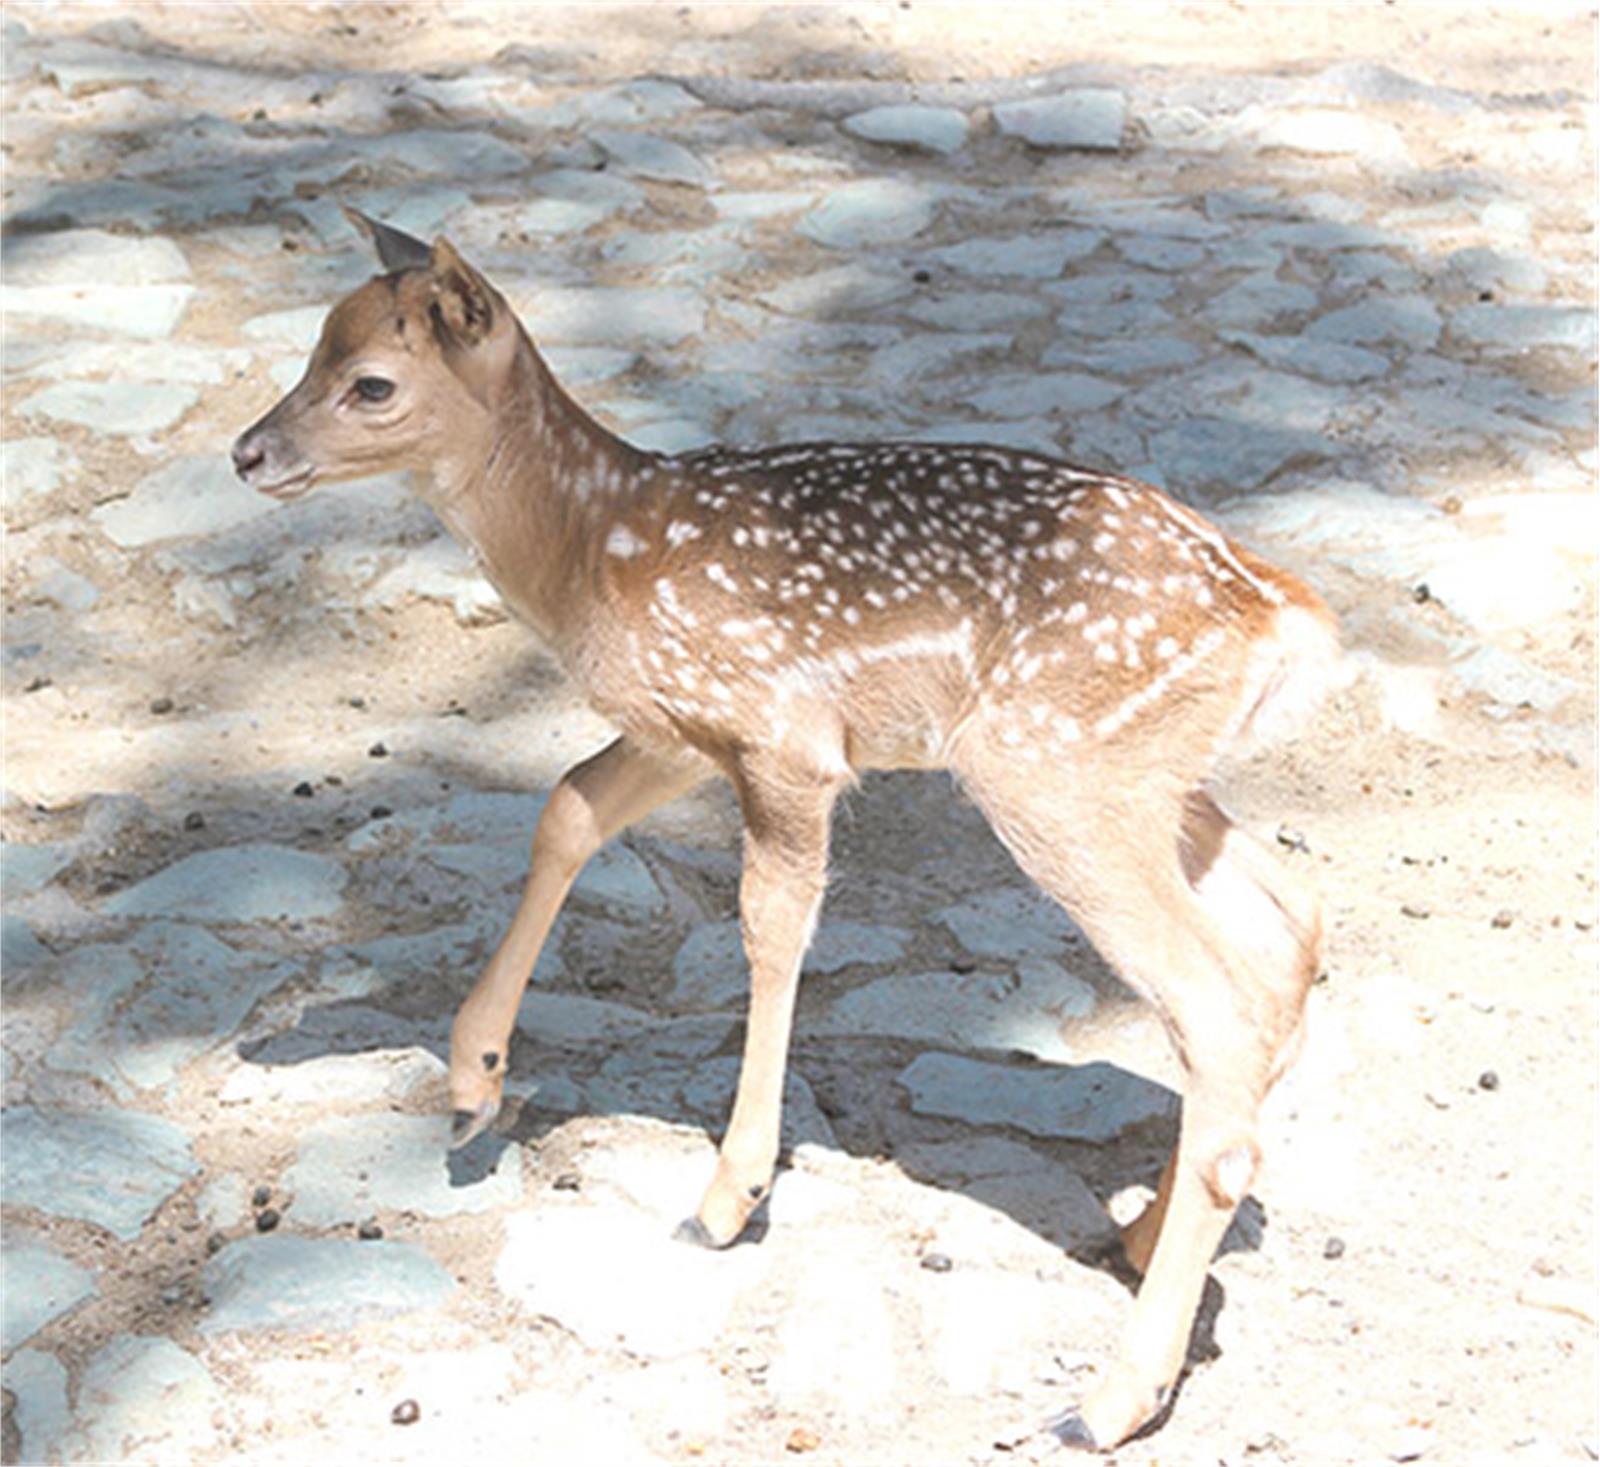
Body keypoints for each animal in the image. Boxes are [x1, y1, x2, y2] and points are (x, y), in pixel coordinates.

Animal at [232, 211, 1344, 1446]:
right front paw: (473, 1087)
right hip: (1145, 781)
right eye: (313, 345)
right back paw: (1143, 1236)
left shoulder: (782, 736)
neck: (592, 554)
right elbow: (566, 808)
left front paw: (728, 1196)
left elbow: (771, 927)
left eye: (371, 382)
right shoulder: (680, 730)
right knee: (1288, 920)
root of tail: (1283, 614)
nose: (247, 454)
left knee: (1212, 998)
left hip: (1048, 770)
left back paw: (1107, 1398)